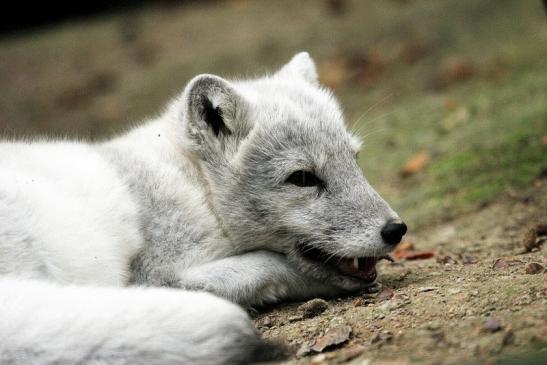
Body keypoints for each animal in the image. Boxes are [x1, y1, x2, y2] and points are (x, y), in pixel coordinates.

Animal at [1, 52, 406, 364]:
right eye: (303, 178)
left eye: (355, 160)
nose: (396, 230)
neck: (195, 187)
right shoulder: (157, 275)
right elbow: (269, 264)